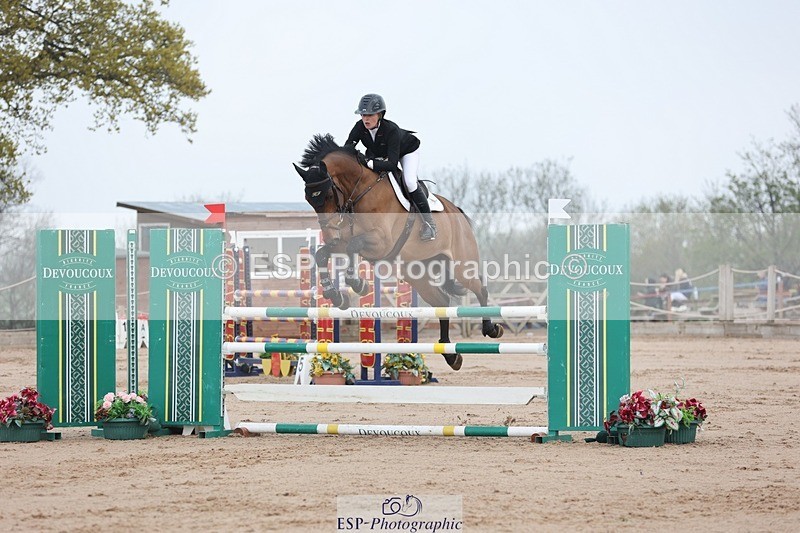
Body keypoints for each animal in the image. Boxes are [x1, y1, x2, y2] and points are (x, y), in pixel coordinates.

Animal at [293, 134, 503, 370]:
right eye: (310, 199)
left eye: (328, 194)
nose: (330, 236)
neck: (360, 190)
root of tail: (457, 211)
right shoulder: (345, 241)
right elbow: (323, 254)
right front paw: (335, 295)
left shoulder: (380, 241)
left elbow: (354, 246)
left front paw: (358, 284)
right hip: (417, 274)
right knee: (442, 301)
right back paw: (451, 355)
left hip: (461, 264)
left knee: (480, 289)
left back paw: (491, 329)